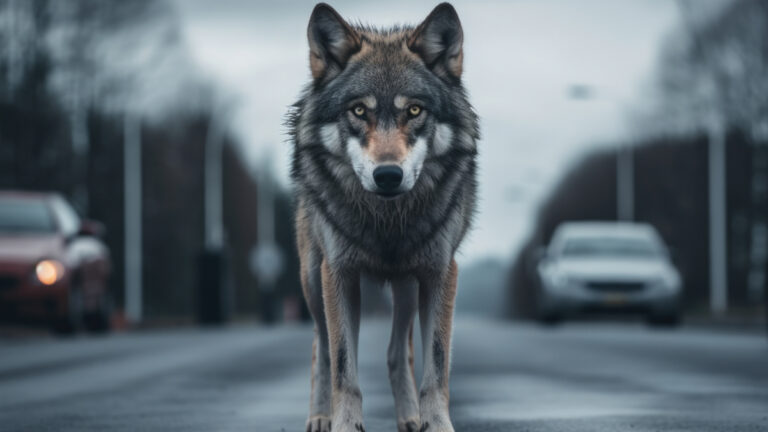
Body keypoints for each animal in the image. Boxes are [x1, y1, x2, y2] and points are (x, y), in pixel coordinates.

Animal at [289, 3, 479, 431]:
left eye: (414, 110)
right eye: (359, 110)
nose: (388, 175)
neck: (388, 220)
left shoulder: (440, 273)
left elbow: (436, 365)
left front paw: (435, 424)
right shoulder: (338, 273)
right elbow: (344, 366)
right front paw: (344, 425)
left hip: (407, 288)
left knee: (396, 352)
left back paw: (409, 418)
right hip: (312, 280)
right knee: (320, 346)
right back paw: (319, 416)